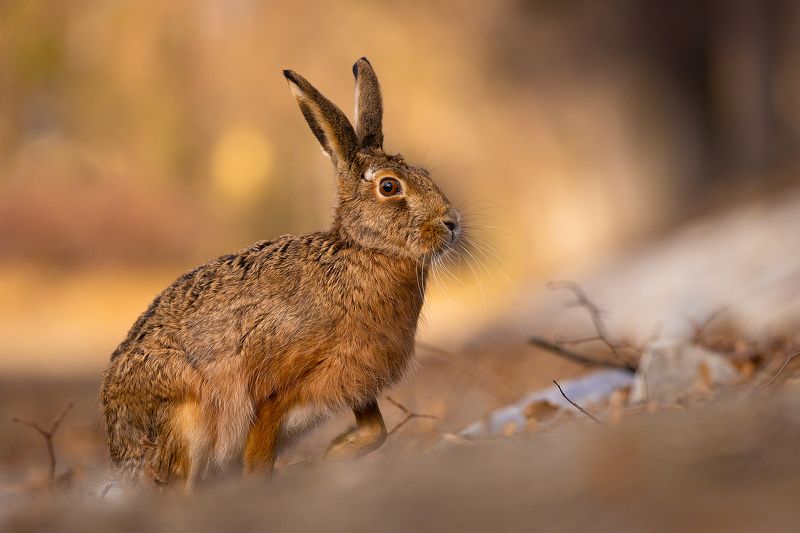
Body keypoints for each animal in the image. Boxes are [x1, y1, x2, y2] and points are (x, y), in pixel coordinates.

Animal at [100, 57, 461, 489]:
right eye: (390, 187)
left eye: (425, 174)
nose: (452, 223)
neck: (362, 252)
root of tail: (121, 451)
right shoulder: (273, 392)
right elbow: (258, 460)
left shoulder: (353, 382)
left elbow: (377, 431)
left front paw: (330, 454)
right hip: (185, 421)